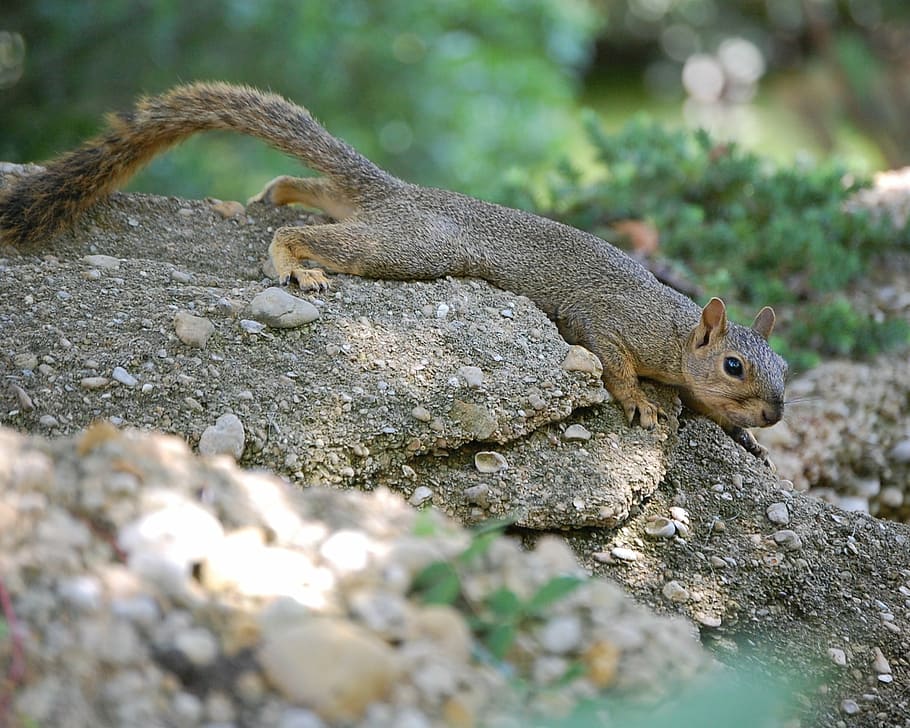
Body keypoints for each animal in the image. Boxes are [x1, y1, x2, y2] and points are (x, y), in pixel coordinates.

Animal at [0, 82, 787, 461]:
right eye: (736, 366)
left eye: (785, 373)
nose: (776, 413)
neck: (677, 330)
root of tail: (399, 194)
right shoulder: (612, 321)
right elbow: (612, 360)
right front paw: (641, 404)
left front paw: (745, 439)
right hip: (405, 248)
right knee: (310, 235)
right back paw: (294, 264)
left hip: (374, 222)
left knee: (319, 192)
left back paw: (277, 192)